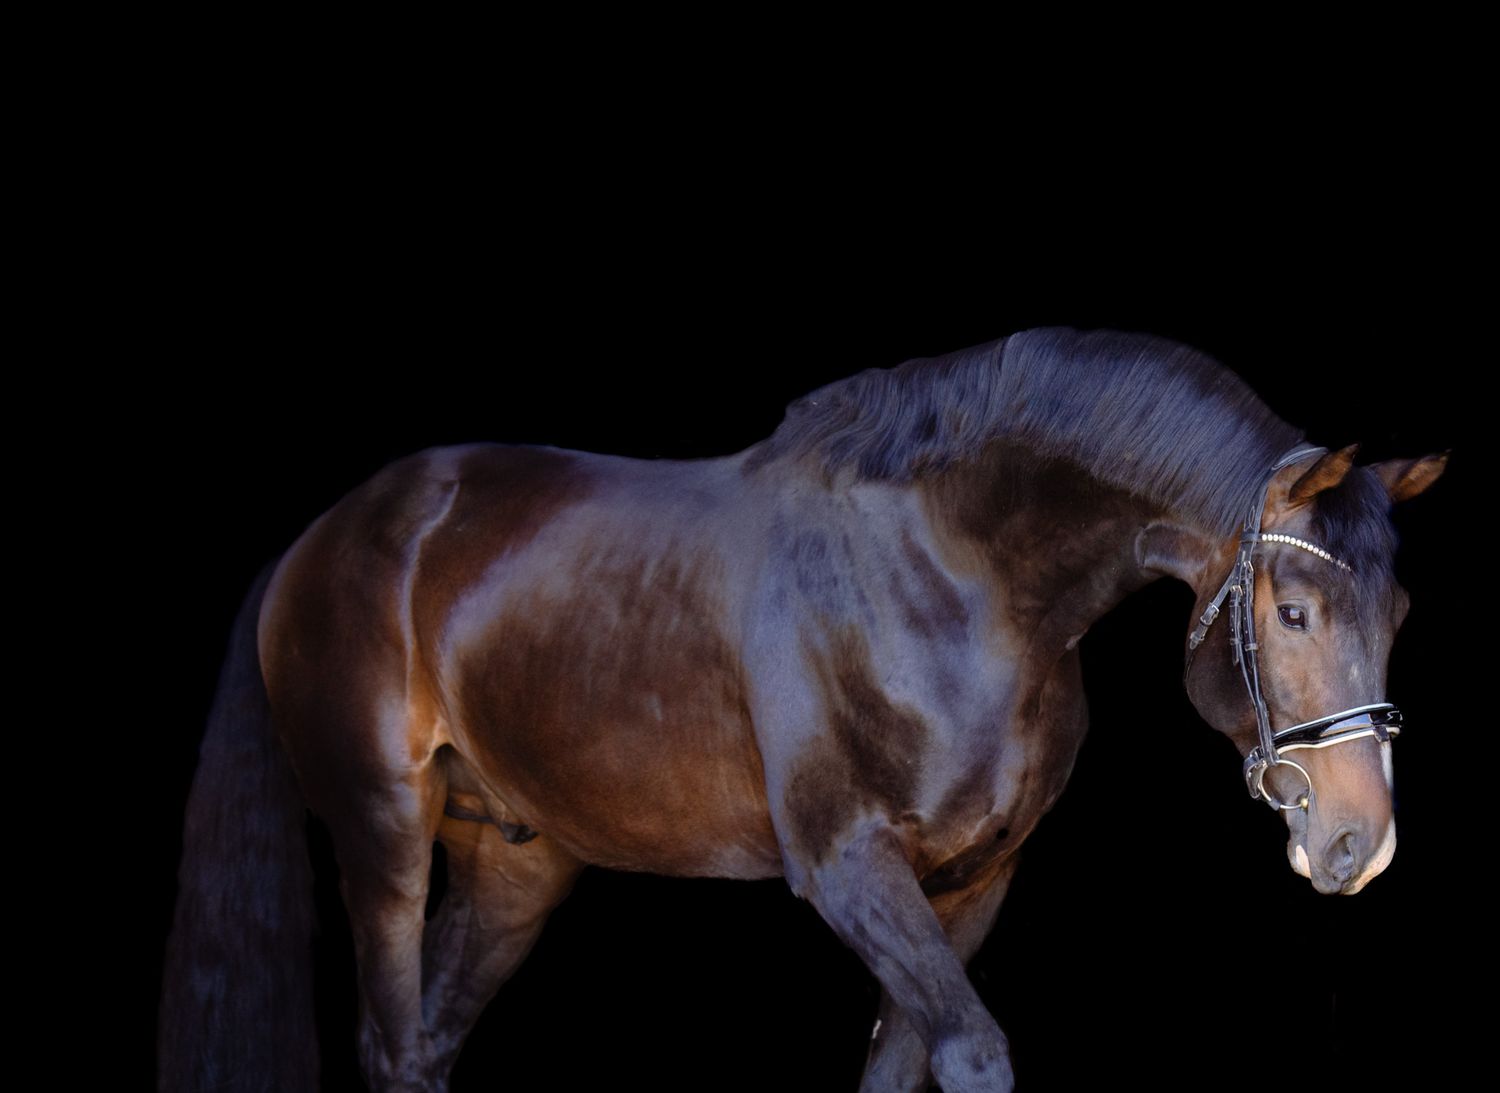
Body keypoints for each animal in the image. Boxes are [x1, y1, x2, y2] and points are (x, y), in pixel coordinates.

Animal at [159, 328, 1445, 1092]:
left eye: (1398, 609)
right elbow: (974, 1055)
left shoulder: (969, 882)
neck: (953, 574)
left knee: (424, 1045)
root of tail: (325, 535)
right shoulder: (848, 867)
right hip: (385, 833)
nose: (1360, 842)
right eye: (1292, 611)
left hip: (515, 863)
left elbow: (901, 1068)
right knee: (389, 1038)